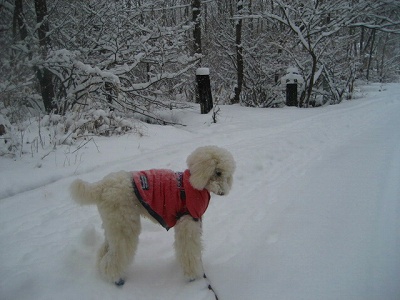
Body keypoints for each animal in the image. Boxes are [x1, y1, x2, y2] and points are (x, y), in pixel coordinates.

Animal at [70, 145, 236, 286]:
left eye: (227, 175)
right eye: (218, 172)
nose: (223, 192)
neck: (192, 184)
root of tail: (102, 186)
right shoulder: (188, 223)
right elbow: (189, 250)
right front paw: (193, 276)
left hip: (114, 223)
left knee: (106, 249)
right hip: (124, 224)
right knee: (116, 255)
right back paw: (116, 278)